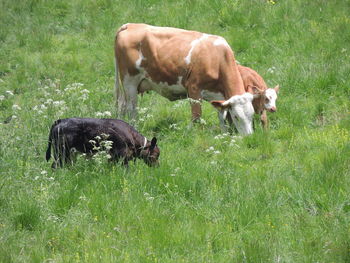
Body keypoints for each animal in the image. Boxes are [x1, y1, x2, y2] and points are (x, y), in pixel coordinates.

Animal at [115, 22, 254, 136]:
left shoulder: (219, 96)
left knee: (122, 106)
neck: (217, 58)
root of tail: (130, 25)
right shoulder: (194, 89)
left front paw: (224, 134)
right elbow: (196, 116)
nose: (248, 137)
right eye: (236, 116)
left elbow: (221, 116)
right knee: (131, 109)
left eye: (252, 115)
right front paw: (193, 134)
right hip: (129, 82)